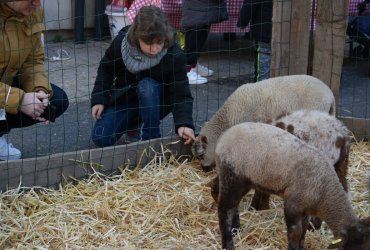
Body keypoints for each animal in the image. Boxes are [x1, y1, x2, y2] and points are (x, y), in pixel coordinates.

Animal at [215, 122, 368, 250]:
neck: (324, 191)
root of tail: (223, 138)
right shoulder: (293, 202)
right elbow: (295, 232)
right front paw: (293, 248)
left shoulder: (305, 208)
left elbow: (304, 230)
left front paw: (302, 247)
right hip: (233, 176)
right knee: (225, 209)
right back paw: (228, 243)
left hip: (240, 179)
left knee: (227, 200)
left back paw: (236, 229)